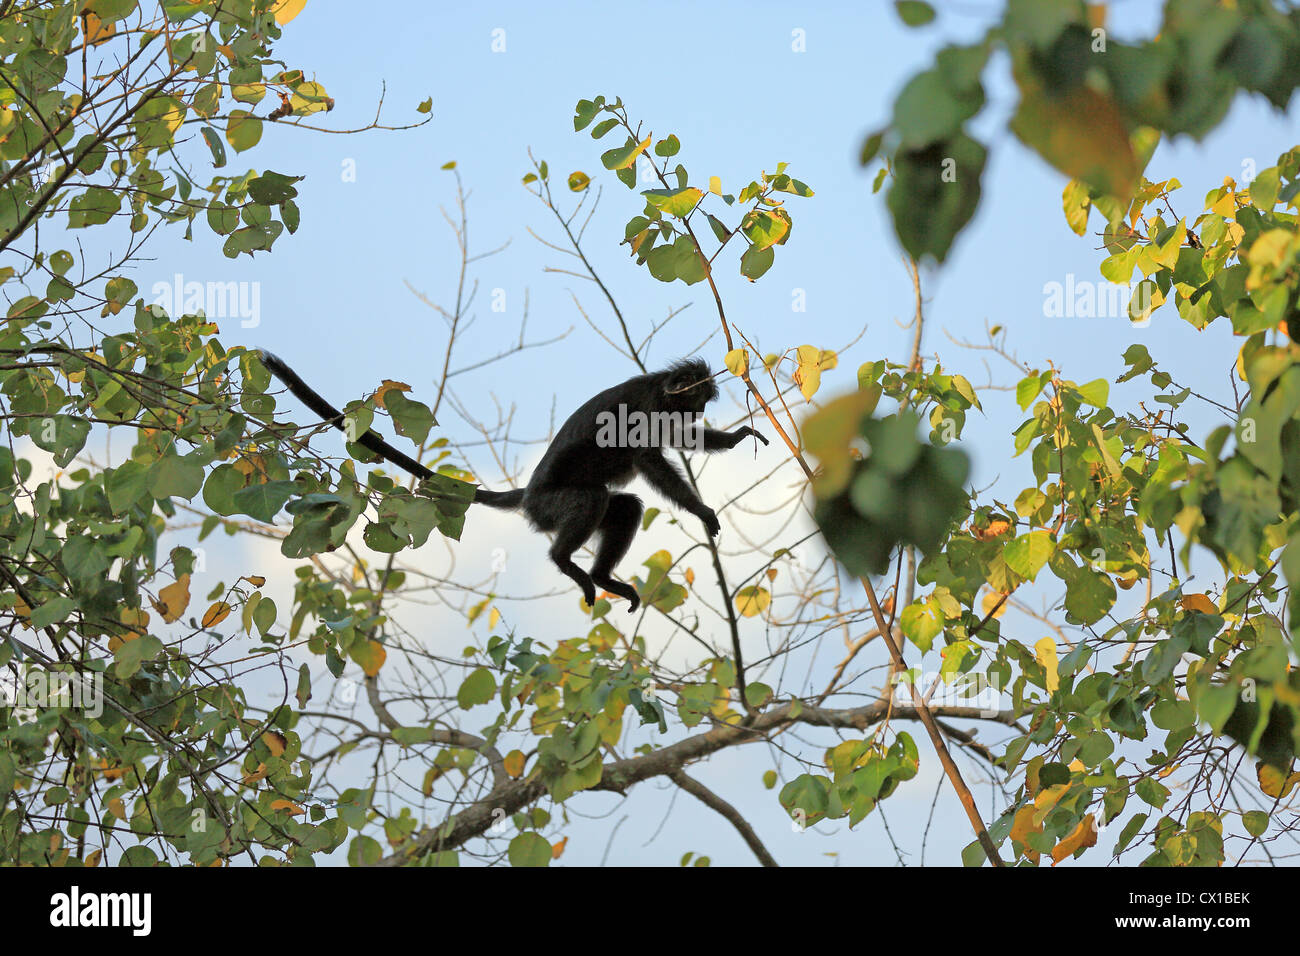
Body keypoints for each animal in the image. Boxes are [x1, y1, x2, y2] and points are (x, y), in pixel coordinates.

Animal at [257, 351, 764, 613]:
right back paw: (565, 562)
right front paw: (702, 512)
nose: (700, 411)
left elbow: (679, 446)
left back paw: (602, 576)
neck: (659, 389)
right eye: (697, 401)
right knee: (592, 500)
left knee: (623, 507)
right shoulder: (645, 410)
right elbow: (651, 462)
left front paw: (735, 437)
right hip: (551, 507)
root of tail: (529, 495)